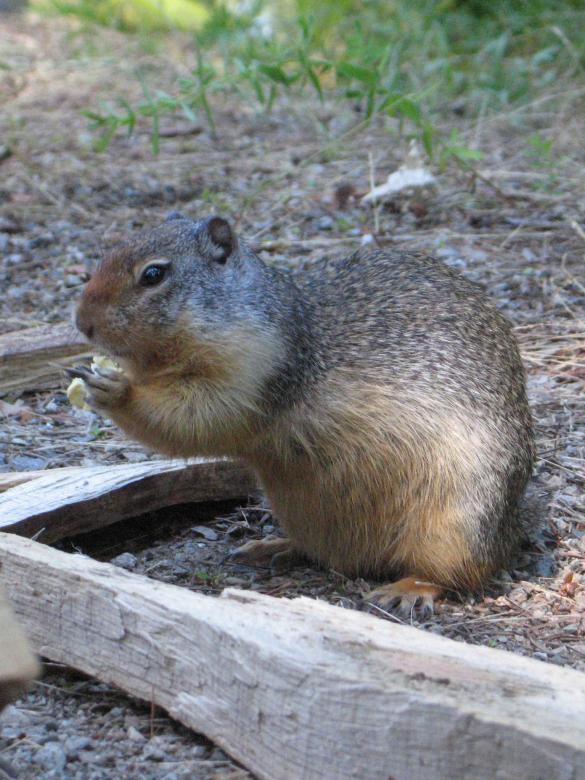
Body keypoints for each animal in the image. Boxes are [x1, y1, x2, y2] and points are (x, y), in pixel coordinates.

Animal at [72, 212, 534, 615]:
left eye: (153, 274)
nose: (81, 322)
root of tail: (513, 530)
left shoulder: (253, 373)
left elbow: (196, 418)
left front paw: (114, 389)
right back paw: (271, 548)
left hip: (458, 522)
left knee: (457, 572)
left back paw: (406, 589)